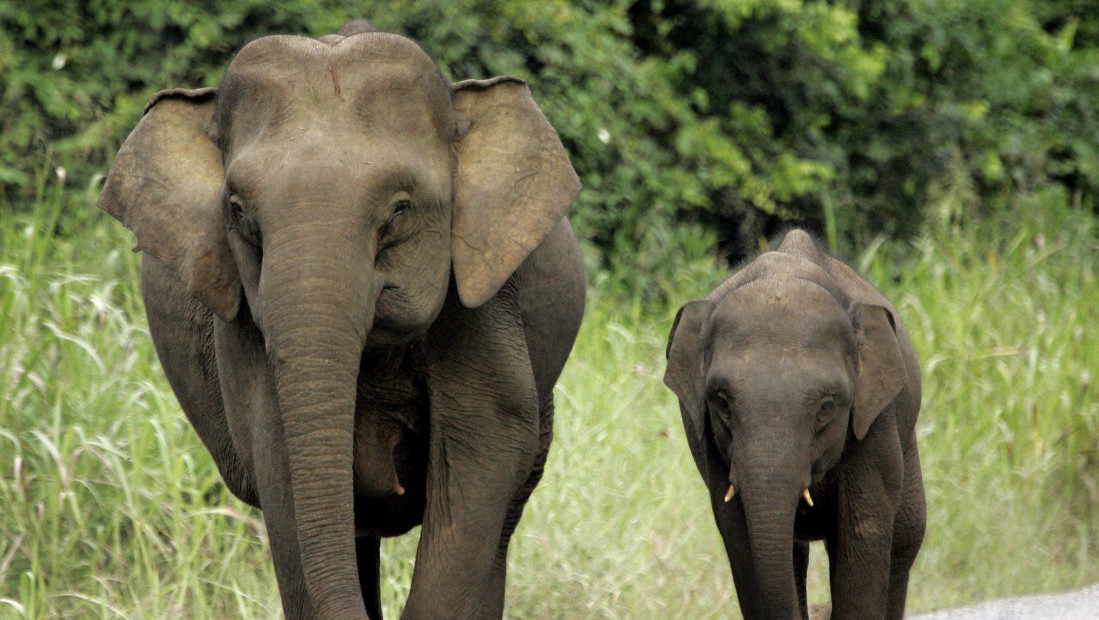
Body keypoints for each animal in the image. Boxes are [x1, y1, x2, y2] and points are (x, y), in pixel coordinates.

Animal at [663, 228, 923, 620]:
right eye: (722, 403)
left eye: (826, 407)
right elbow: (739, 537)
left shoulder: (875, 421)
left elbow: (864, 532)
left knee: (907, 535)